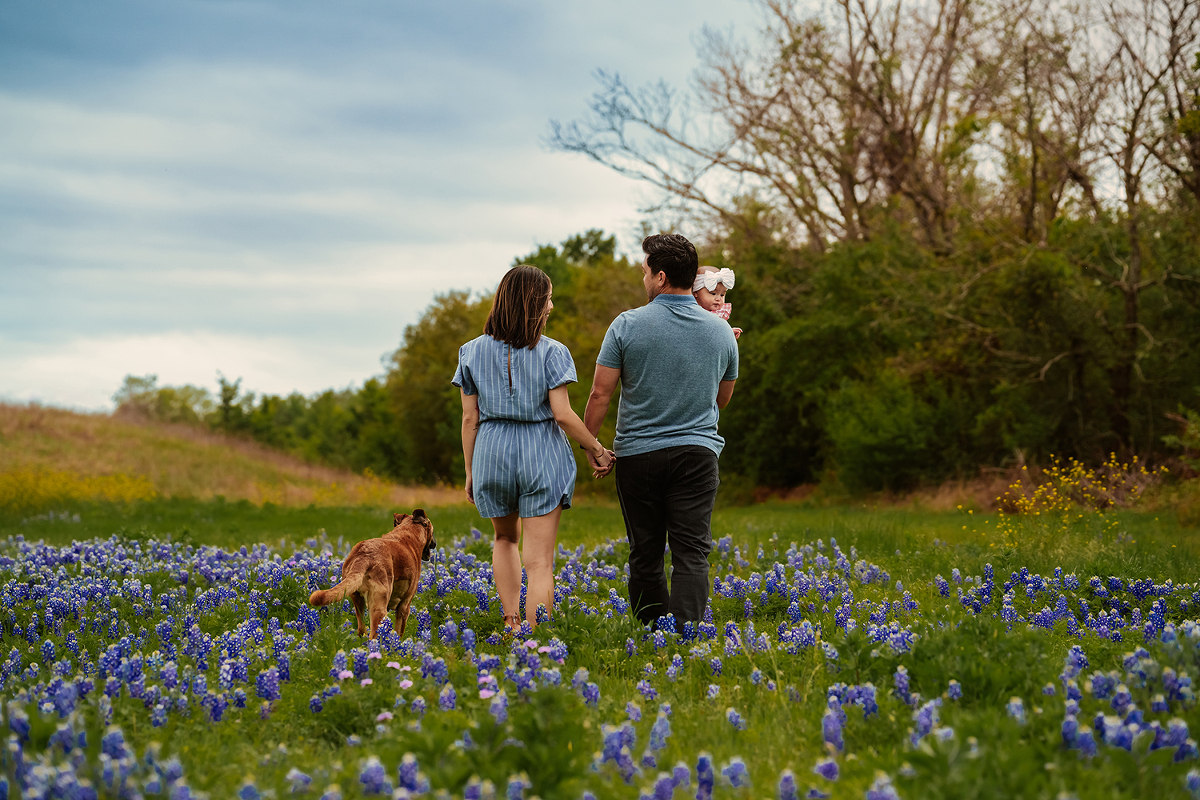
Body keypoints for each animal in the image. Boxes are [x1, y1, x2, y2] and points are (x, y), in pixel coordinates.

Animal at [307, 513, 439, 638]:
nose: (435, 543)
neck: (409, 532)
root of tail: (364, 554)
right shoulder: (405, 605)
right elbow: (398, 632)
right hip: (379, 604)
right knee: (374, 635)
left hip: (356, 598)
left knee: (361, 629)